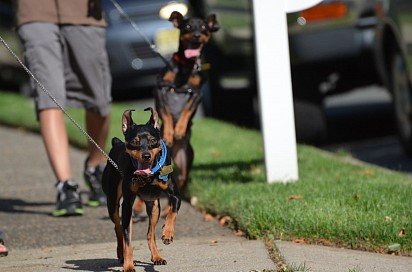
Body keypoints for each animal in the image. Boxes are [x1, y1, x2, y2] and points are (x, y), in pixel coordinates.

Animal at [102, 107, 180, 270]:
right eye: (134, 142)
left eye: (153, 140)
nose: (146, 155)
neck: (148, 176)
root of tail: (116, 143)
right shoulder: (127, 205)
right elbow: (127, 239)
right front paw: (128, 266)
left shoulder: (175, 195)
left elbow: (172, 212)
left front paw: (168, 233)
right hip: (113, 202)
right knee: (119, 227)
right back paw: (121, 254)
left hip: (154, 206)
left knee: (150, 233)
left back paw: (157, 256)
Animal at [154, 11, 219, 193]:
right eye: (188, 26)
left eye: (204, 28)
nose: (197, 35)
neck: (186, 66)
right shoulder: (161, 88)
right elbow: (167, 114)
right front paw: (169, 133)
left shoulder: (196, 94)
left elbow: (186, 111)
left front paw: (180, 130)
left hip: (184, 161)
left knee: (181, 179)